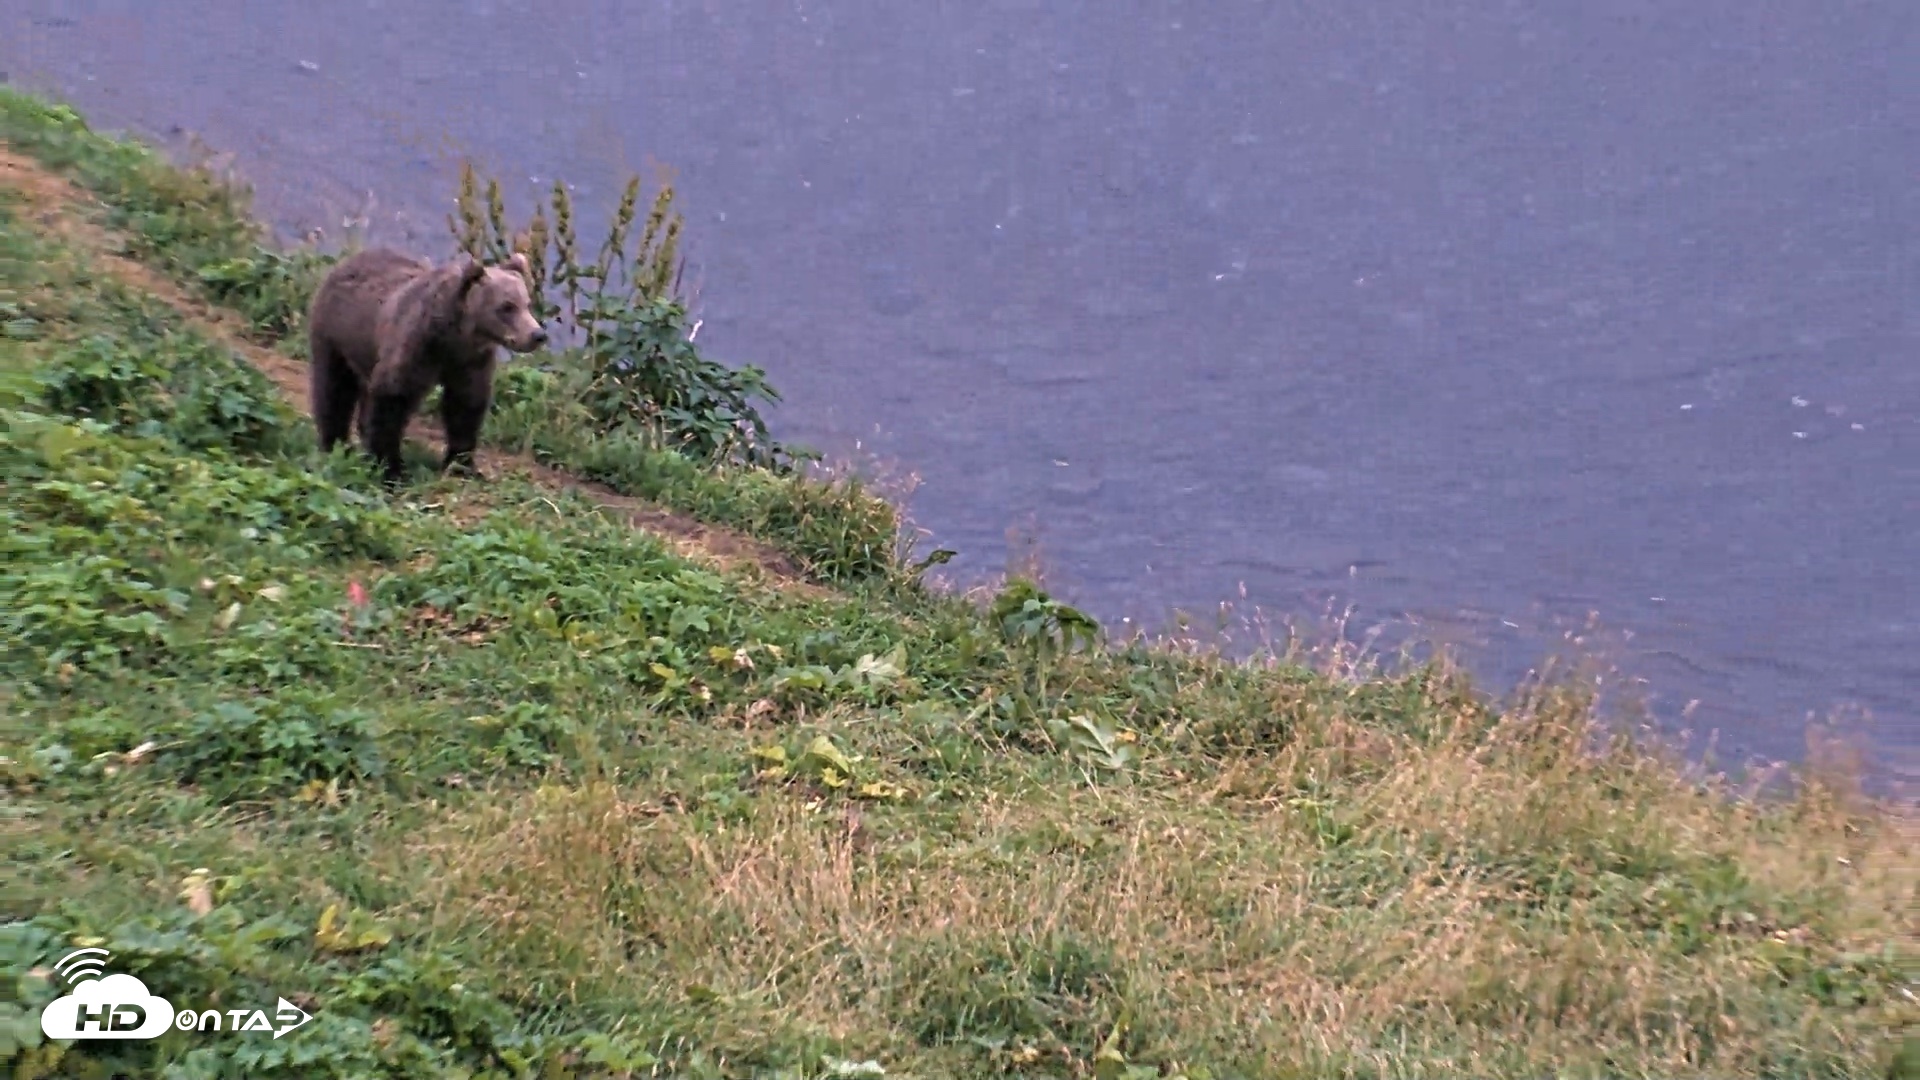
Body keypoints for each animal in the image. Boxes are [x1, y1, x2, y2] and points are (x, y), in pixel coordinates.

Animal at [307, 247, 548, 485]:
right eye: (507, 307)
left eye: (527, 304)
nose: (537, 334)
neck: (455, 336)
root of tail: (346, 262)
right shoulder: (416, 348)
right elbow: (392, 399)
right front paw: (391, 470)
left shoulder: (470, 362)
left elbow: (465, 405)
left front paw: (463, 466)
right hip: (336, 334)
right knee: (334, 389)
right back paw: (336, 444)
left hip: (368, 351)